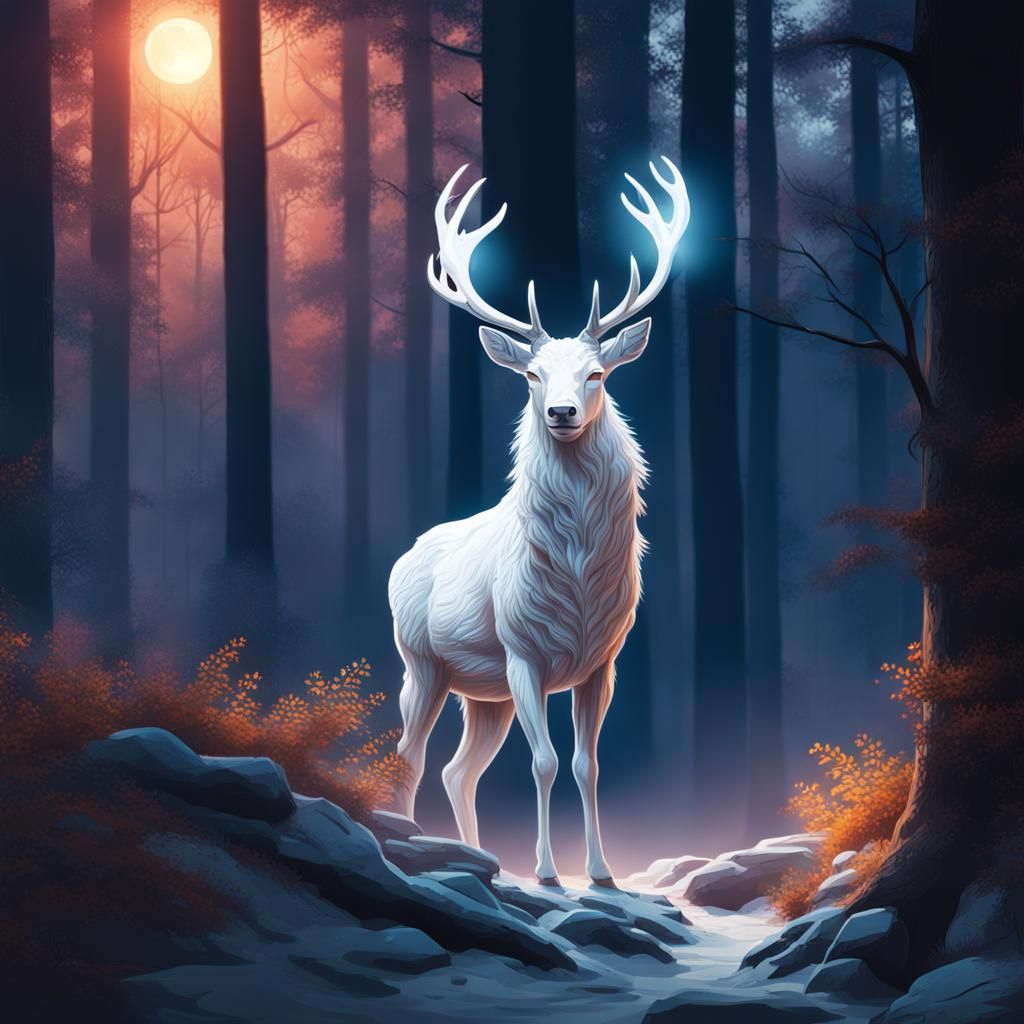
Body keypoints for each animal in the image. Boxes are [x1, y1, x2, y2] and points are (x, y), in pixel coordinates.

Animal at [389, 157, 689, 886]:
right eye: (530, 375)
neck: (576, 579)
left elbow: (587, 764)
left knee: (457, 769)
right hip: (423, 663)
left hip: (484, 693)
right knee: (410, 755)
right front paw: (550, 870)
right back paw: (415, 842)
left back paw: (479, 857)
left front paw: (602, 870)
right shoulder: (523, 651)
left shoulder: (604, 661)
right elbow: (546, 761)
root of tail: (404, 556)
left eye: (598, 373)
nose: (560, 412)